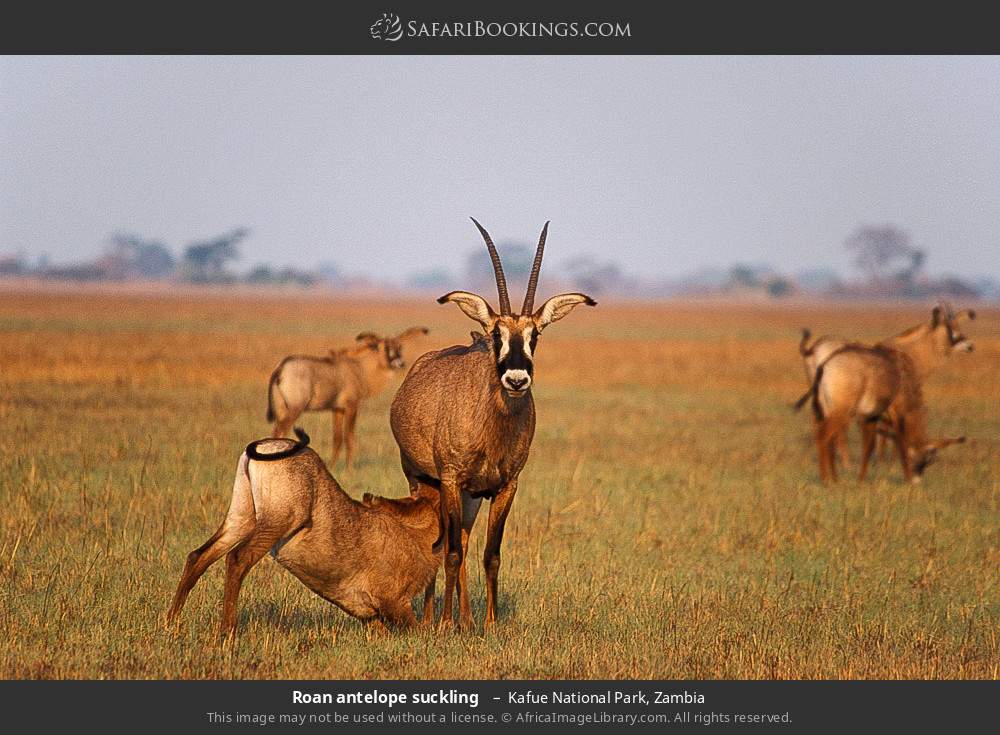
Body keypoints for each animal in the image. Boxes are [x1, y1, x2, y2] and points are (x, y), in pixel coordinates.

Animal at [165, 429, 441, 638]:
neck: (415, 535)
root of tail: (263, 445)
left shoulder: (372, 617)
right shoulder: (395, 604)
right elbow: (418, 631)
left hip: (241, 518)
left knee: (198, 556)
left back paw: (171, 622)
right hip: (277, 522)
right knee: (236, 559)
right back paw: (227, 632)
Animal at [267, 328, 428, 468]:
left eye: (399, 347)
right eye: (383, 347)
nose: (399, 363)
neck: (358, 367)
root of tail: (281, 369)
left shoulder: (337, 409)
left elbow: (337, 438)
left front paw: (332, 465)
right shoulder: (351, 406)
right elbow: (349, 437)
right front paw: (349, 469)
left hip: (282, 408)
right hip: (295, 408)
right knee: (281, 430)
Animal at [389, 218, 596, 630]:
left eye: (535, 334)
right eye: (496, 333)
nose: (516, 379)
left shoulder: (505, 486)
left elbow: (490, 553)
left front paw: (489, 623)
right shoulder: (451, 480)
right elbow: (451, 552)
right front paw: (444, 626)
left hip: (469, 496)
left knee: (466, 540)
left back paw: (466, 620)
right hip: (423, 481)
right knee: (441, 543)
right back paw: (433, 618)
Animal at [798, 344, 965, 484]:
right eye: (927, 460)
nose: (917, 481)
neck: (903, 373)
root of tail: (825, 365)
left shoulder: (871, 417)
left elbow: (869, 446)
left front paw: (861, 480)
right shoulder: (898, 415)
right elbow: (901, 443)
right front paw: (908, 480)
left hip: (825, 412)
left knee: (829, 439)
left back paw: (834, 479)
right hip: (841, 412)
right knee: (823, 436)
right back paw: (826, 480)